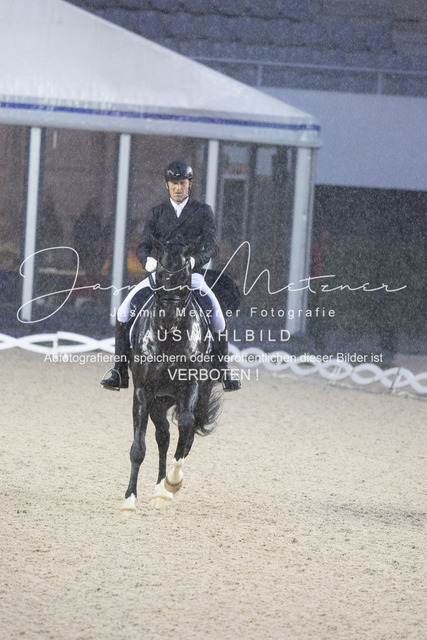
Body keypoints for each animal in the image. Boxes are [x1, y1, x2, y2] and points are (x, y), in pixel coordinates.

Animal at [121, 238, 222, 512]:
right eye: (159, 274)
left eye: (185, 276)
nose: (169, 319)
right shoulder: (143, 393)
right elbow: (138, 447)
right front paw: (129, 499)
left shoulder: (191, 386)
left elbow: (186, 426)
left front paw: (174, 481)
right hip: (159, 402)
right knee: (163, 436)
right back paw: (159, 490)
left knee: (187, 432)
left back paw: (166, 486)